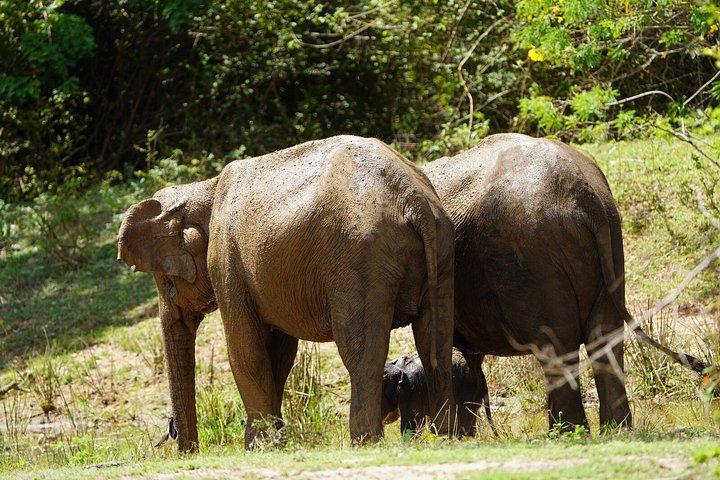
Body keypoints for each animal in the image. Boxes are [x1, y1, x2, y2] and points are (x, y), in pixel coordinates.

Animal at [117, 135, 456, 452]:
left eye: (167, 282)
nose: (186, 449)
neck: (205, 188)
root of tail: (413, 199)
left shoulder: (226, 263)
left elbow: (246, 350)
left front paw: (258, 447)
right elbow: (278, 354)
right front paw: (271, 442)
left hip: (362, 258)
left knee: (361, 353)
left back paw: (364, 442)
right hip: (440, 249)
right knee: (435, 344)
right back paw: (447, 436)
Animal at [423, 133, 707, 432]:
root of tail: (587, 200)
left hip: (535, 257)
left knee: (556, 345)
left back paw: (566, 432)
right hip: (609, 245)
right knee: (603, 337)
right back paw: (614, 429)